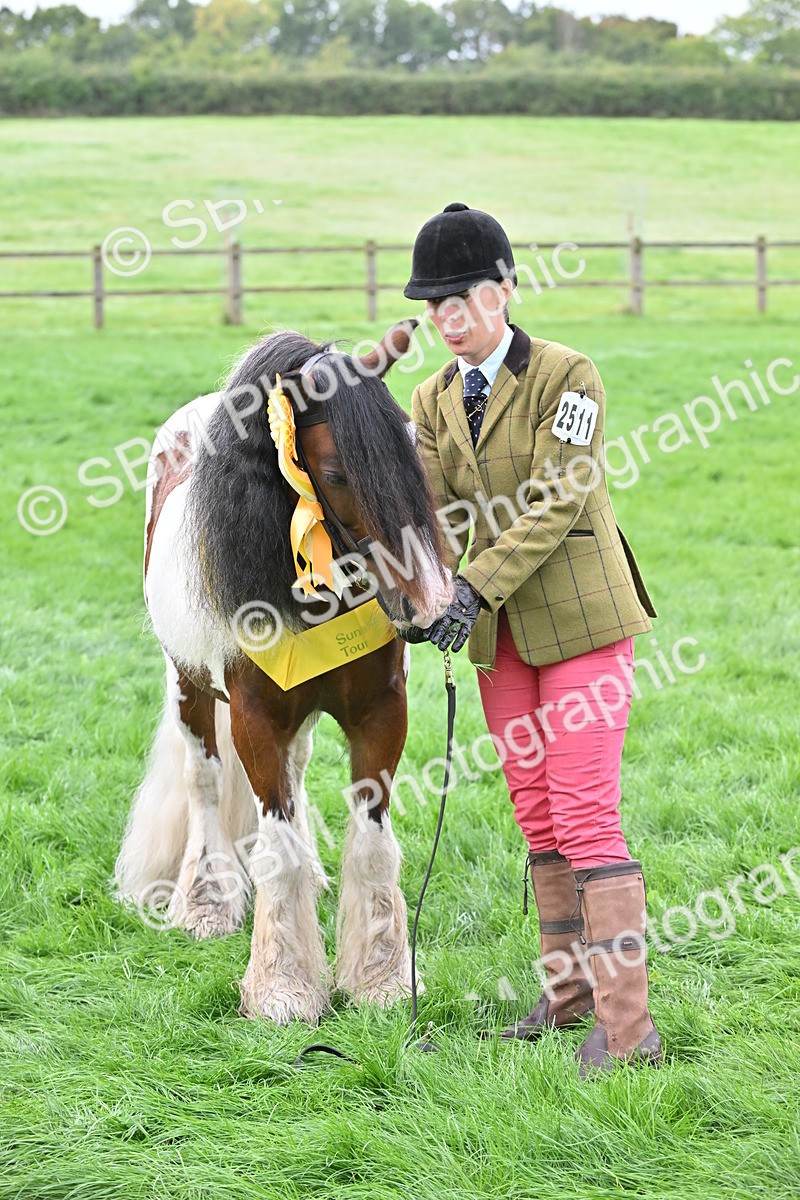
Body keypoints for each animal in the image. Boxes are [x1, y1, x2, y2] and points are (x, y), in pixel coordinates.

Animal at [114, 321, 452, 1025]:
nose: (433, 605)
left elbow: (371, 844)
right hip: (187, 686)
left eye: (414, 449)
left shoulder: (380, 712)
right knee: (205, 782)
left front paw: (381, 979)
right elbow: (272, 843)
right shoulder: (255, 719)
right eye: (336, 472)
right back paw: (207, 901)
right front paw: (284, 987)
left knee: (294, 777)